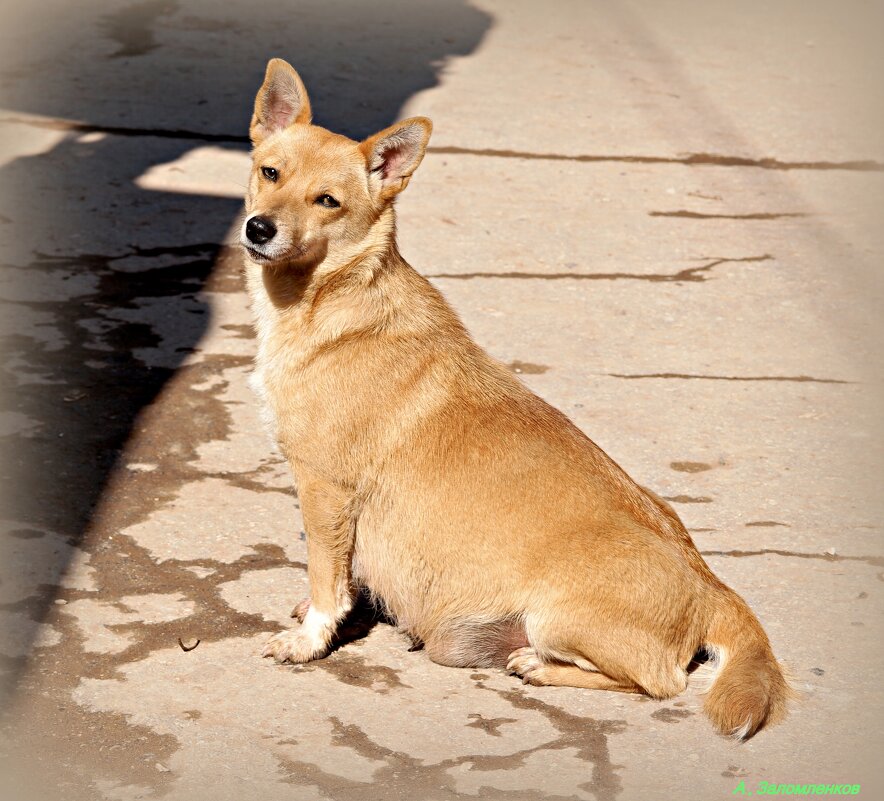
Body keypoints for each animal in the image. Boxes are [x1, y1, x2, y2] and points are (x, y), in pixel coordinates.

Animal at [238, 59, 792, 740]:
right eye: (270, 173)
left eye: (328, 202)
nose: (259, 228)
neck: (332, 299)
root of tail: (711, 585)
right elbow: (341, 570)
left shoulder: (324, 488)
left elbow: (325, 574)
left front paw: (311, 638)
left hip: (559, 618)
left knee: (659, 681)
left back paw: (535, 666)